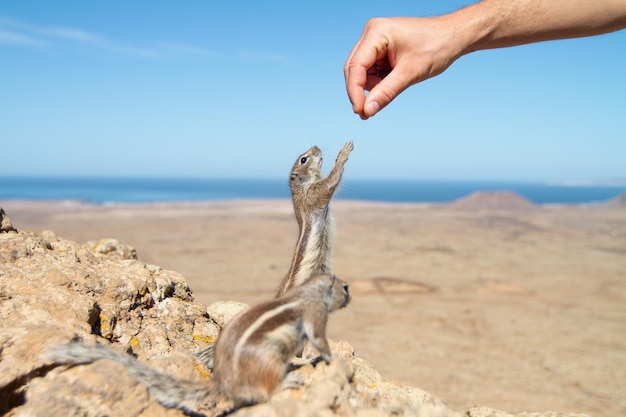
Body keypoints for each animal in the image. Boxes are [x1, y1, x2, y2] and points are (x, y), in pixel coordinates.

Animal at [45, 272, 352, 412]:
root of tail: (224, 384)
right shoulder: (315, 315)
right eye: (345, 287)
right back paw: (288, 381)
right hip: (269, 363)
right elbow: (319, 340)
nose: (350, 297)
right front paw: (329, 359)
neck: (310, 292)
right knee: (265, 392)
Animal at [276, 141, 354, 298]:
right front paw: (343, 153)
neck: (301, 187)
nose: (316, 146)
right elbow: (331, 180)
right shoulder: (314, 193)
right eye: (303, 159)